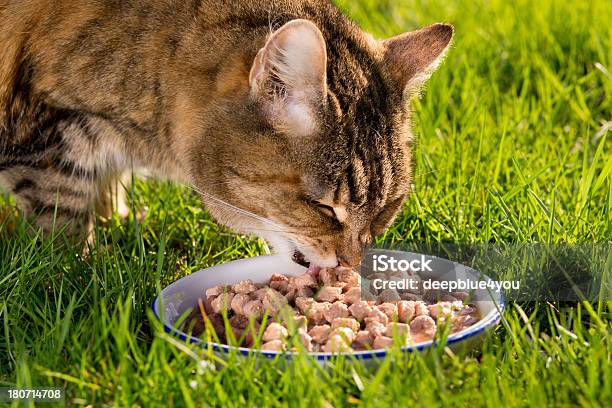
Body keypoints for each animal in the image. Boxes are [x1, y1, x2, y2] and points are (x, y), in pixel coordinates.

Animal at [0, 0, 450, 270]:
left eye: (386, 208)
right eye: (324, 208)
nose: (352, 265)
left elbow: (109, 184)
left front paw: (118, 220)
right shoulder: (50, 134)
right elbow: (64, 215)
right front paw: (82, 267)